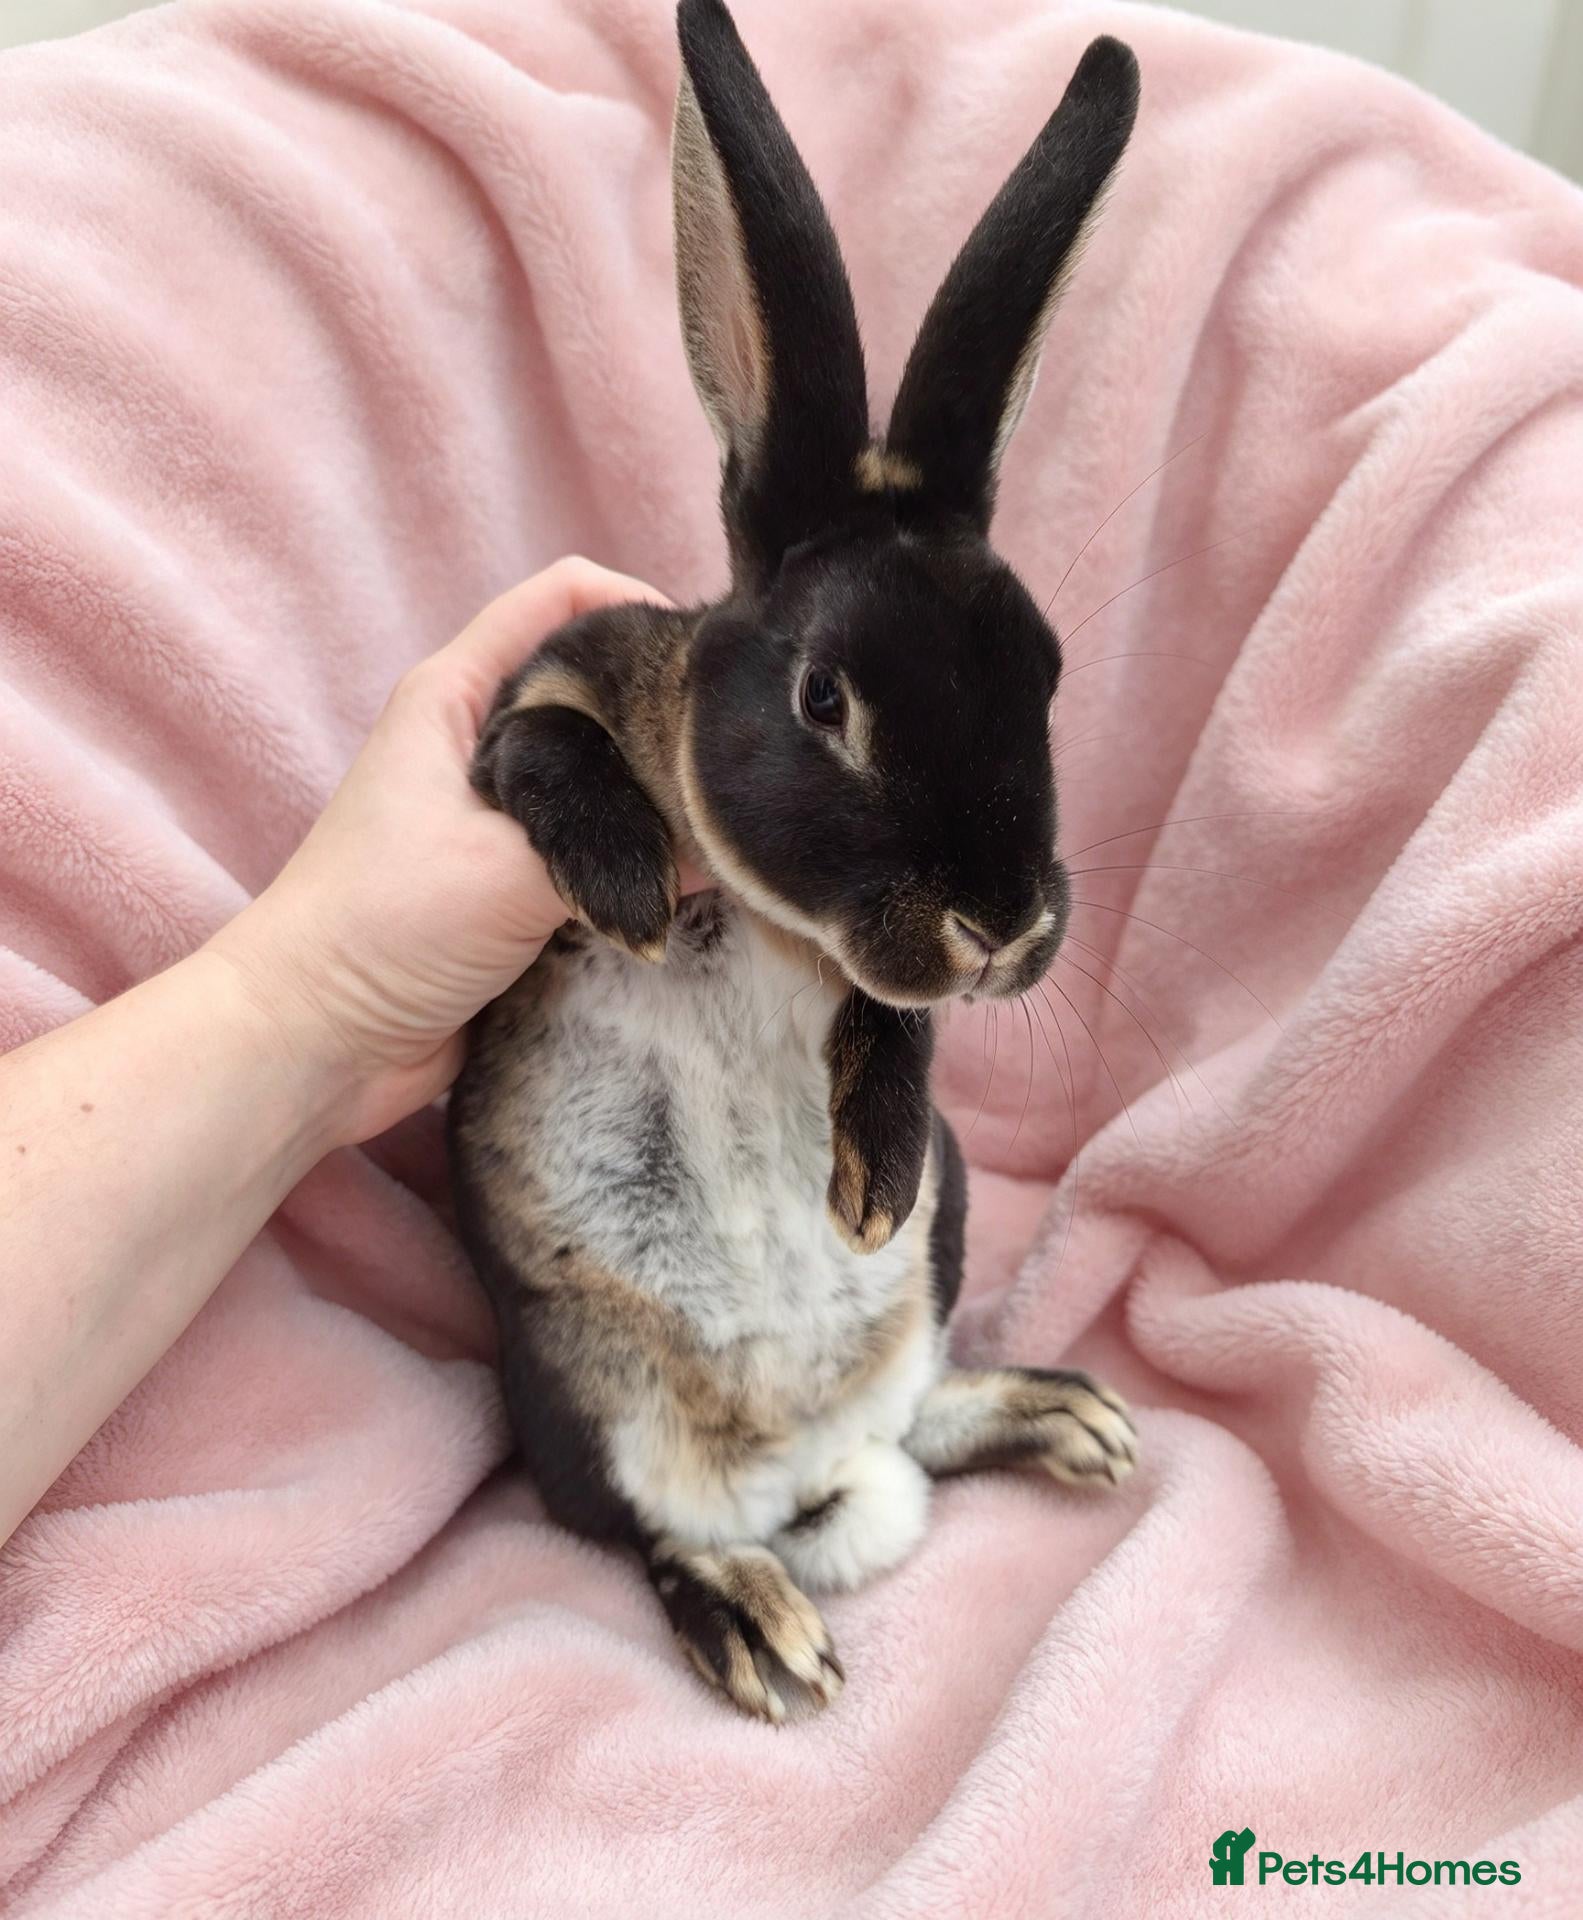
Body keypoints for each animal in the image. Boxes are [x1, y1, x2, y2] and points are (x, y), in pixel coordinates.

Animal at [448, 0, 1141, 1721]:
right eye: (825, 699)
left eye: (1043, 678)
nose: (1001, 923)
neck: (756, 920)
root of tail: (819, 1479)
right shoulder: (519, 706)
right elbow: (543, 745)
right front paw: (628, 880)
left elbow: (888, 1025)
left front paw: (866, 1175)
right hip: (584, 1397)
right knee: (658, 1534)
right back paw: (758, 1630)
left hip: (934, 1288)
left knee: (922, 1413)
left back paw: (1064, 1420)